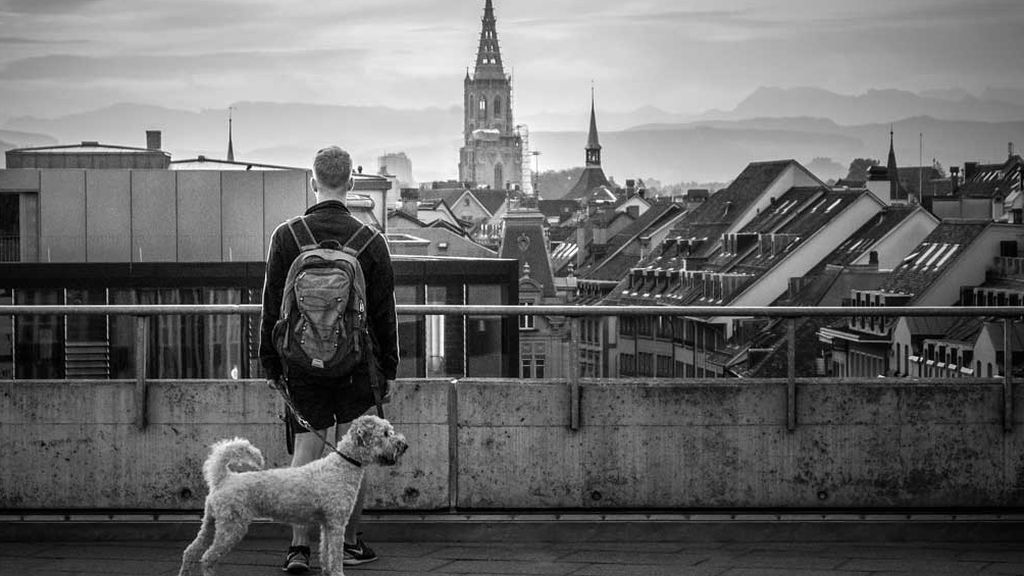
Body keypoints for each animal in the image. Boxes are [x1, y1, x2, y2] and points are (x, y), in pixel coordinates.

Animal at [180, 412, 407, 573]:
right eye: (385, 433)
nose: (404, 444)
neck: (342, 466)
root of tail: (223, 478)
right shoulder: (337, 523)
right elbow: (335, 556)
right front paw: (337, 572)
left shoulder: (327, 524)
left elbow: (326, 553)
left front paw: (327, 571)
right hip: (231, 527)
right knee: (207, 558)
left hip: (210, 523)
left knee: (191, 551)